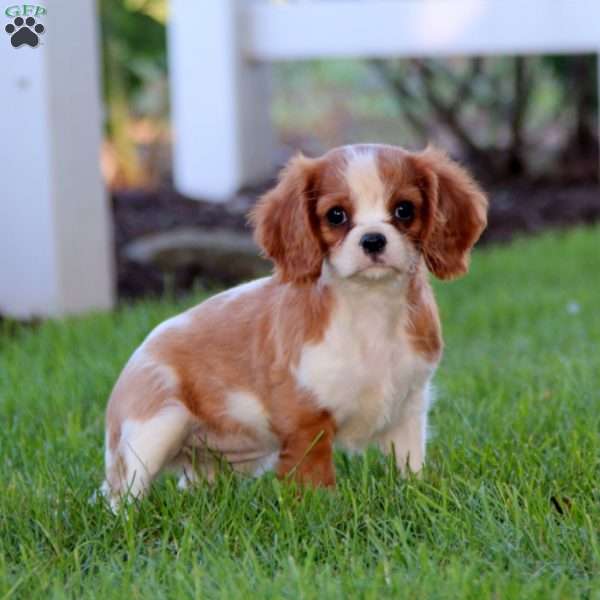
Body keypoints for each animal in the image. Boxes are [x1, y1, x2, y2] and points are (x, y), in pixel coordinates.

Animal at [102, 144, 488, 506]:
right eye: (336, 215)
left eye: (404, 210)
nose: (373, 239)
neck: (370, 306)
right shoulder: (305, 418)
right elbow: (314, 476)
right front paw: (325, 512)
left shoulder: (409, 406)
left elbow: (411, 465)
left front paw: (419, 495)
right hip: (155, 427)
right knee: (120, 496)